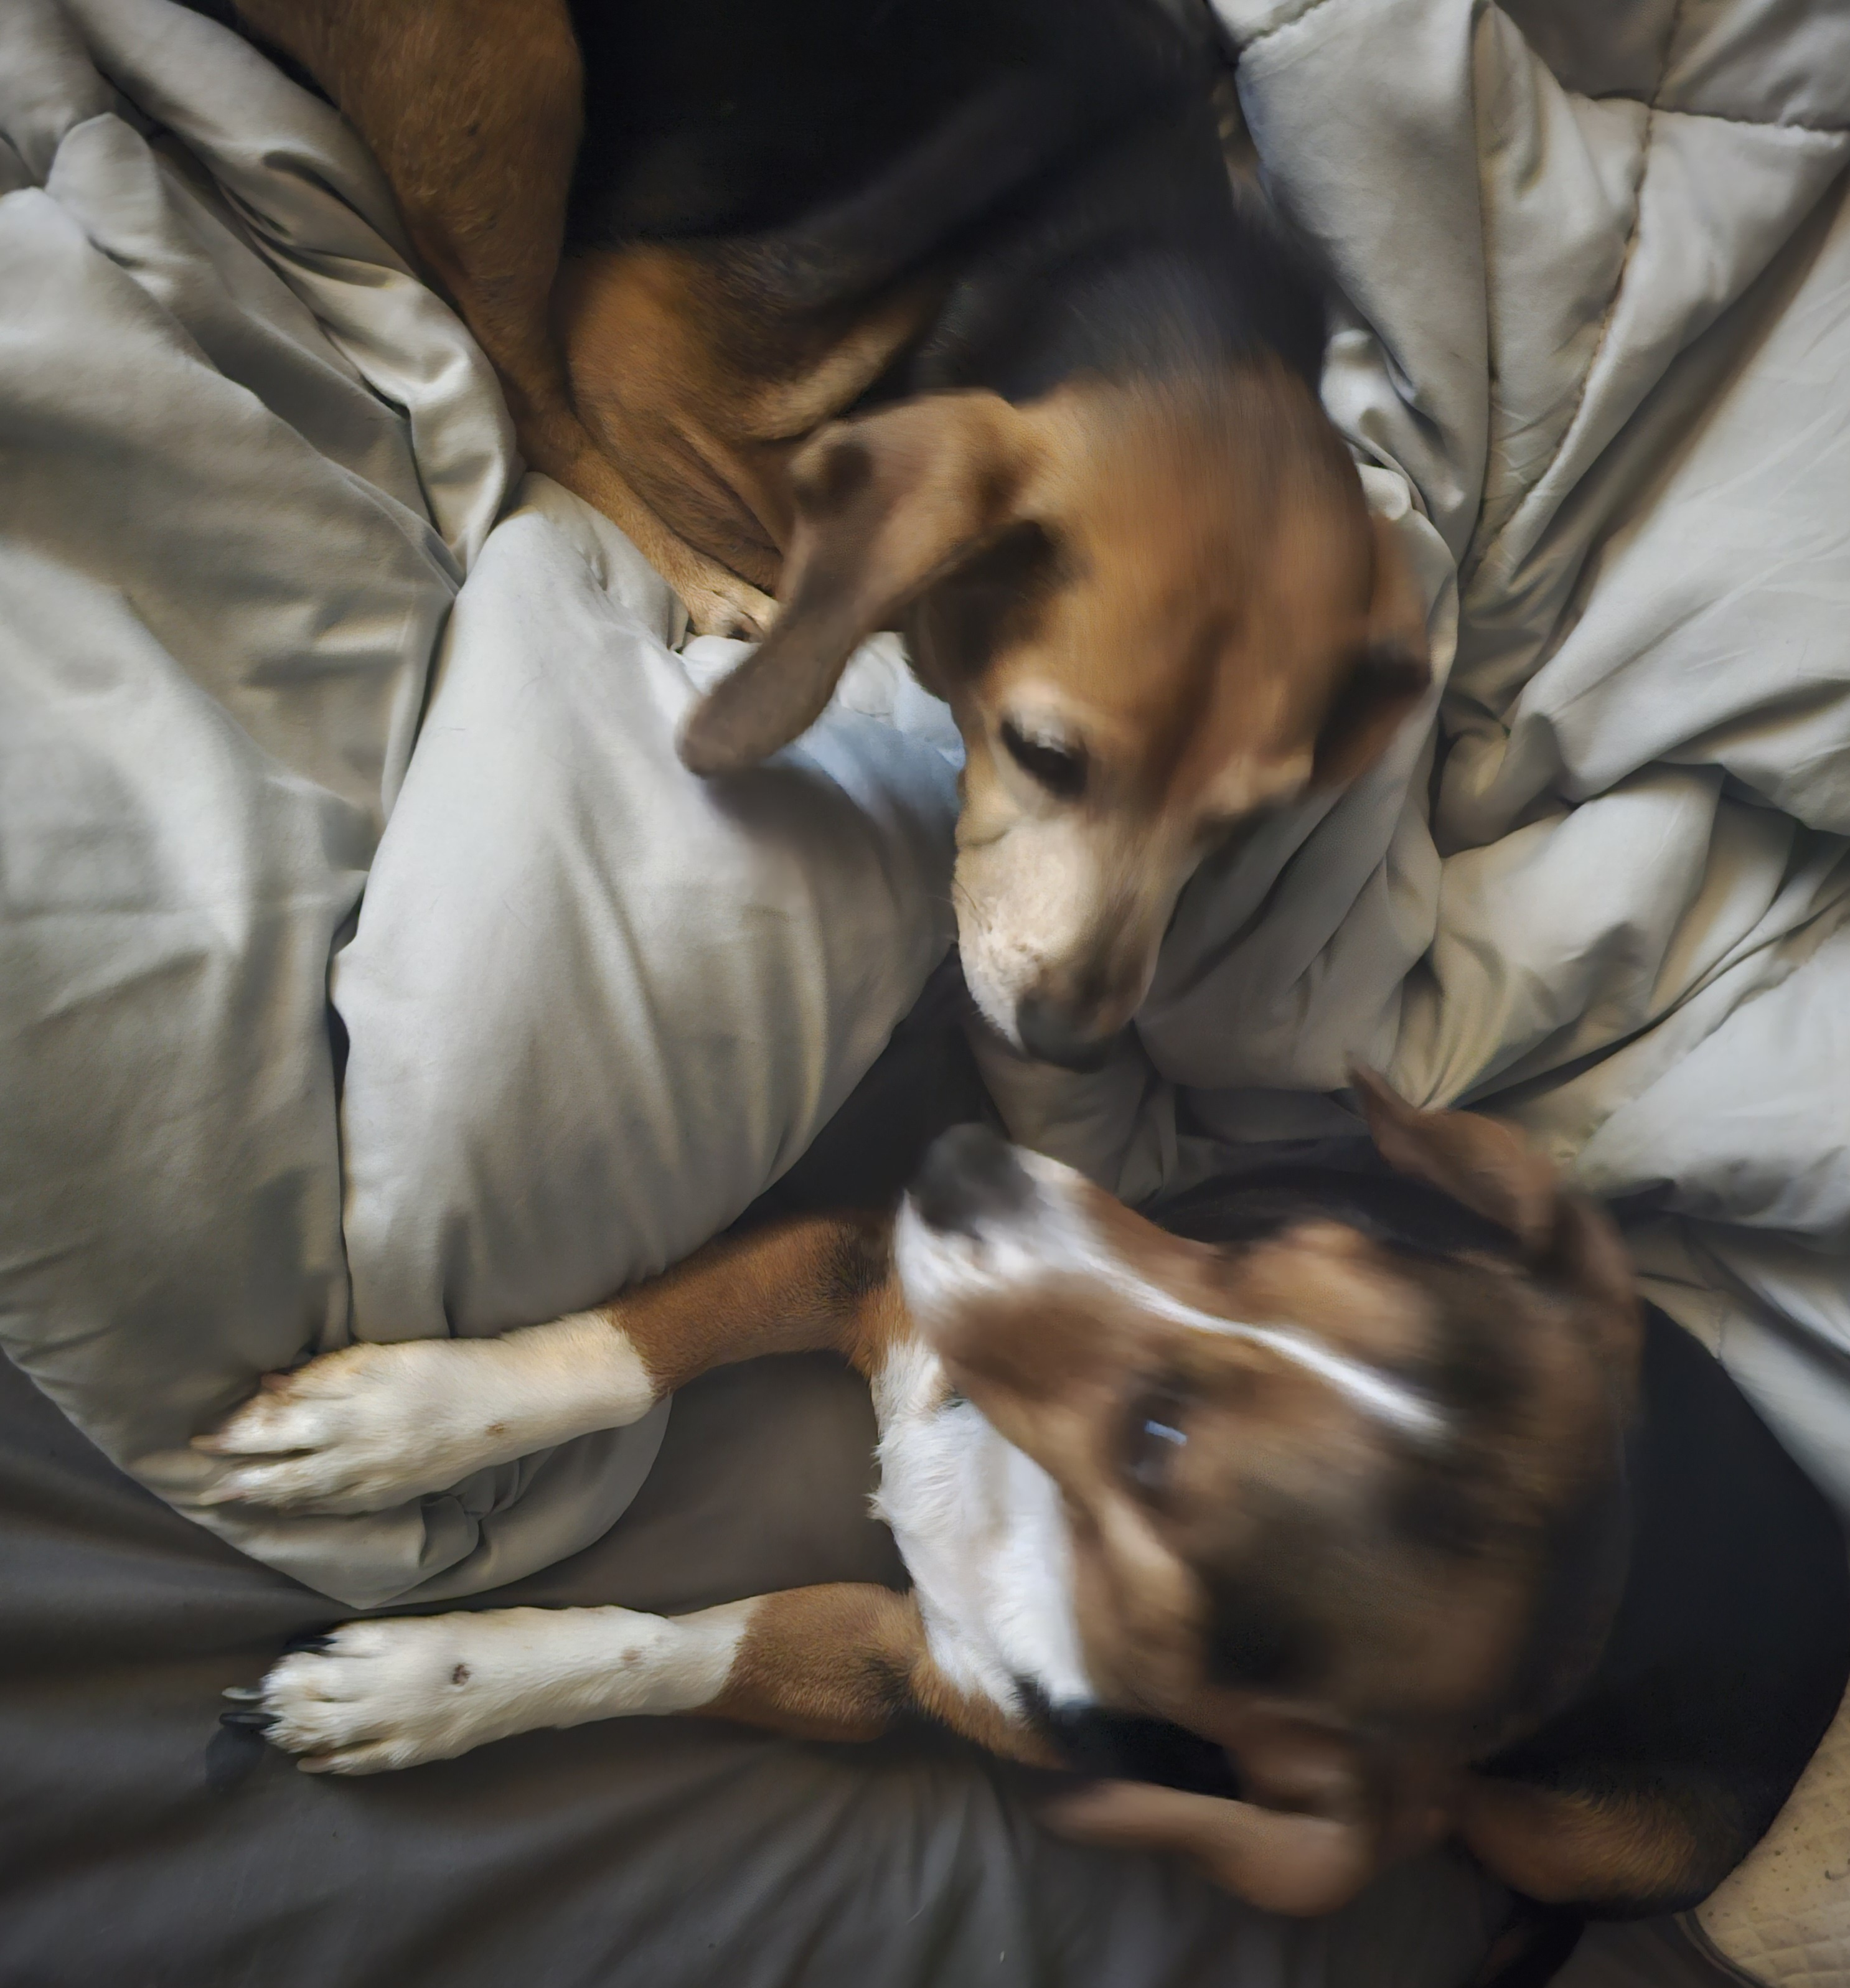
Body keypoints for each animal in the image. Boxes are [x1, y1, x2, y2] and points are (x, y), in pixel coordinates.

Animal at [202, 1073, 1846, 1924]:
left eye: (1161, 1447)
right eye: (1275, 1246)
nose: (964, 1157)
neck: (1017, 1489)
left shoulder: (894, 1666)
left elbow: (673, 1649)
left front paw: (416, 1687)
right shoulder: (863, 1267)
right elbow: (616, 1360)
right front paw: (391, 1420)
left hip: (1579, 1841)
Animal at [217, 0, 1424, 1065]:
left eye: (1244, 821)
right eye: (1044, 756)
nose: (1071, 1048)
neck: (1128, 253)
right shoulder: (632, 339)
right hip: (515, 60)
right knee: (523, 387)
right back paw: (705, 580)